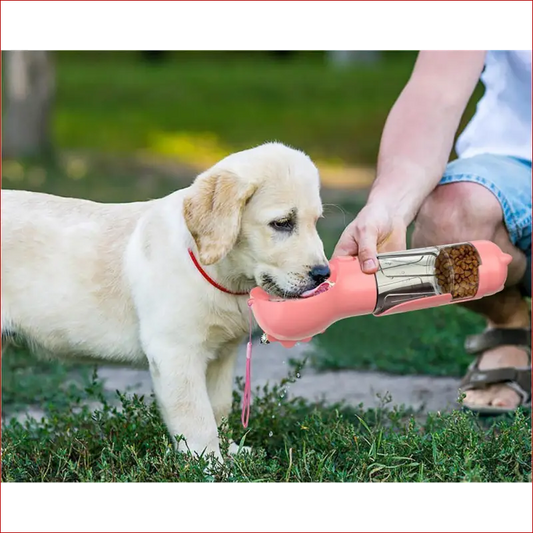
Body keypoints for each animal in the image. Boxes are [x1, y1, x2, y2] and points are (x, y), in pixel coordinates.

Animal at [1, 142, 328, 462]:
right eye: (282, 223)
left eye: (316, 222)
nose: (324, 274)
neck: (219, 274)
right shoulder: (175, 353)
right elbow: (197, 418)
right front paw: (210, 465)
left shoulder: (222, 355)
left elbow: (219, 408)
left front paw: (230, 451)